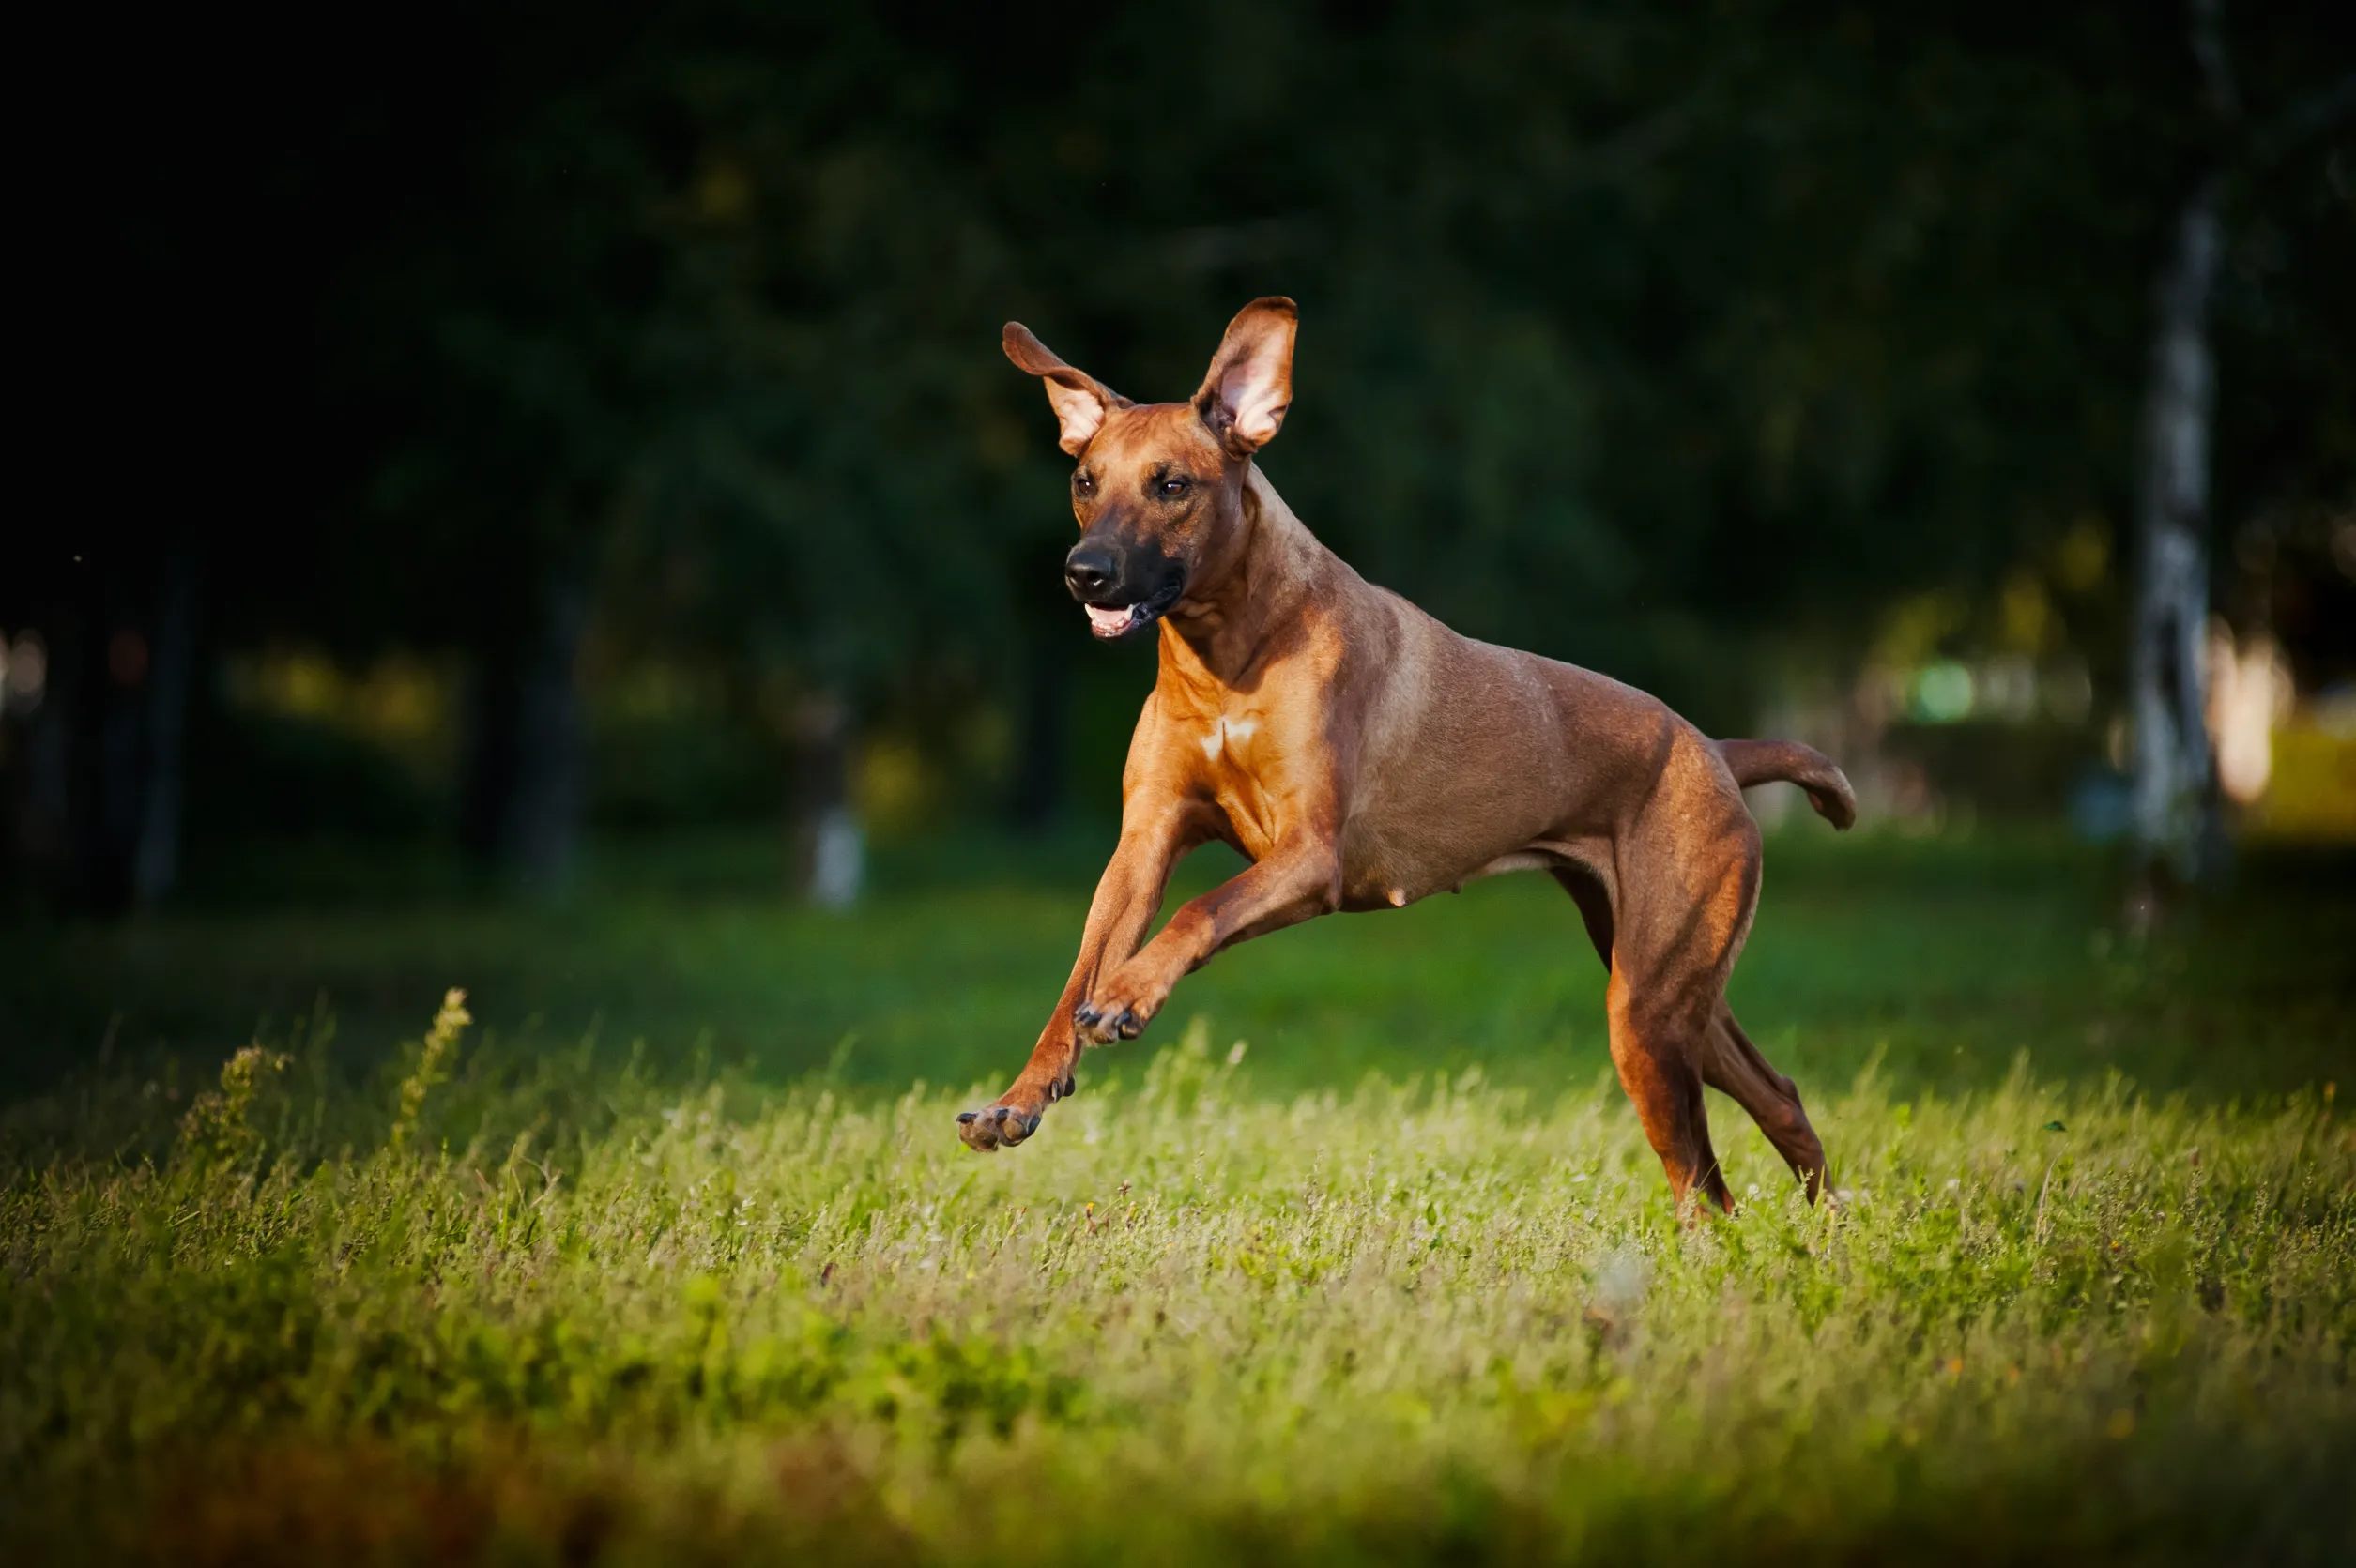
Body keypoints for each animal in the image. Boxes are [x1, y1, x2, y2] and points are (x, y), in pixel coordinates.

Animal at [961, 297, 1856, 1205]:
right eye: (1085, 481)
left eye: (1171, 485)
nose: (1084, 571)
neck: (1229, 656)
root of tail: (1713, 747)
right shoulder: (1143, 844)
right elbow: (1078, 975)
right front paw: (1020, 1095)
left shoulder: (1308, 856)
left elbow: (1198, 910)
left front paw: (1130, 993)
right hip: (1670, 985)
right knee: (1776, 1098)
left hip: (1648, 1007)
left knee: (1704, 1183)